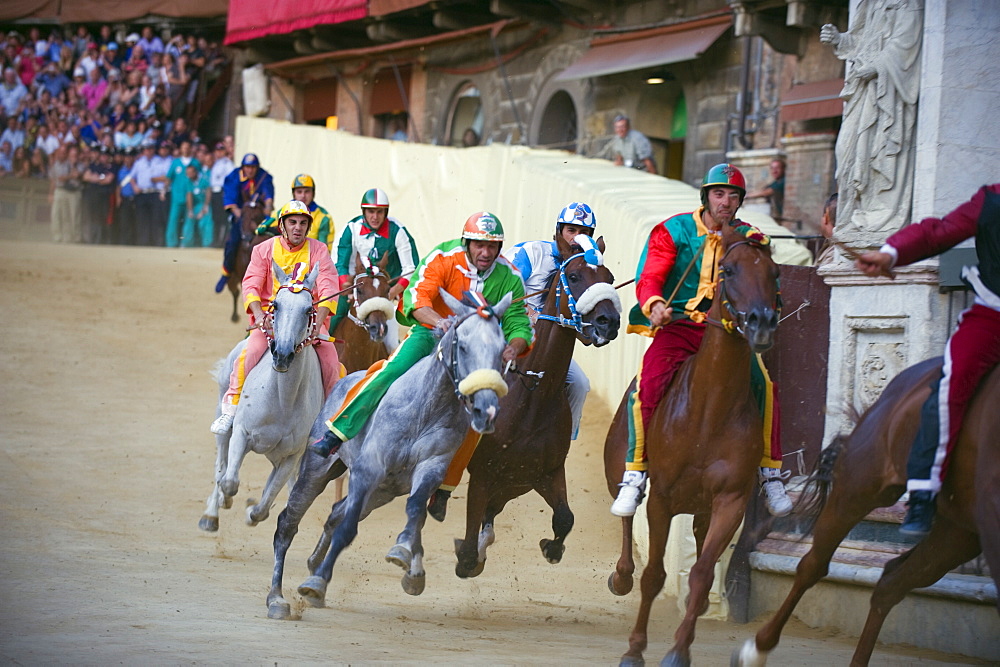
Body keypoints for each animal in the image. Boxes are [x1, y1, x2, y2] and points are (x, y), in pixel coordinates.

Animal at [201, 260, 326, 532]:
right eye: (276, 305)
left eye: (308, 309)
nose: (282, 354)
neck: (281, 400)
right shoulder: (241, 433)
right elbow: (229, 481)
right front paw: (225, 499)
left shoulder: (289, 457)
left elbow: (264, 507)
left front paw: (251, 511)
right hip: (223, 424)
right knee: (220, 466)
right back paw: (211, 514)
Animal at [266, 288, 512, 620]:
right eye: (462, 345)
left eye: (501, 349)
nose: (485, 409)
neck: (425, 407)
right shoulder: (369, 469)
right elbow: (347, 528)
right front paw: (316, 584)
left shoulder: (430, 468)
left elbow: (417, 510)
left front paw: (407, 558)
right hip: (318, 469)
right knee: (288, 524)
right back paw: (277, 598)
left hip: (383, 491)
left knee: (337, 512)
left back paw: (316, 563)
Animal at [600, 220, 780, 667]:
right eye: (729, 270)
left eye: (774, 273)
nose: (762, 322)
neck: (708, 411)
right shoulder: (663, 498)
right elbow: (653, 575)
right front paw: (634, 650)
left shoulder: (730, 500)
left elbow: (700, 574)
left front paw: (679, 650)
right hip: (617, 465)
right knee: (625, 516)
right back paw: (621, 574)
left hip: (702, 508)